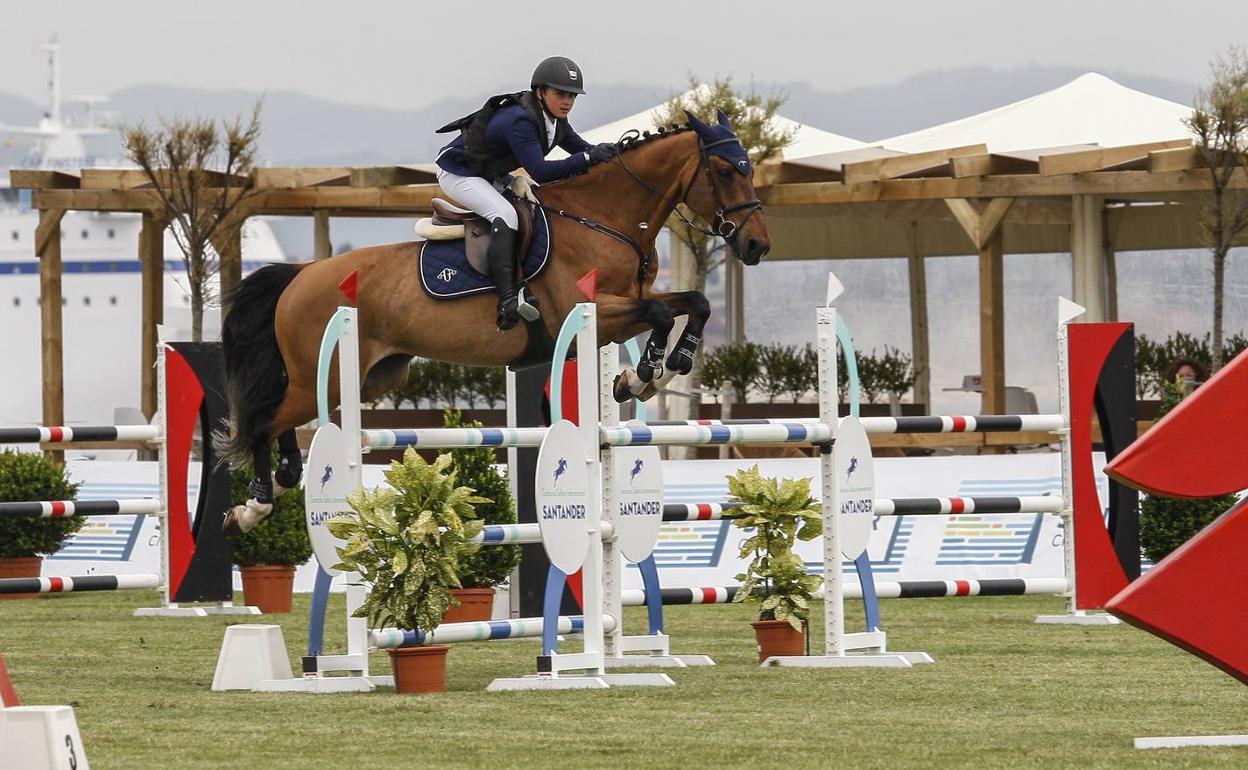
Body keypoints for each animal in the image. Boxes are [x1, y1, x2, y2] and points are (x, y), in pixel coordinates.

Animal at [219, 109, 773, 534]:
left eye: (749, 170)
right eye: (726, 171)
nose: (756, 245)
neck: (607, 218)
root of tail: (300, 275)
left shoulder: (630, 302)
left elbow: (693, 302)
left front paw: (651, 372)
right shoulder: (587, 311)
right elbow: (661, 313)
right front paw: (643, 374)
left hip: (369, 377)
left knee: (283, 419)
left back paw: (281, 480)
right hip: (330, 371)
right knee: (265, 420)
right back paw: (254, 505)